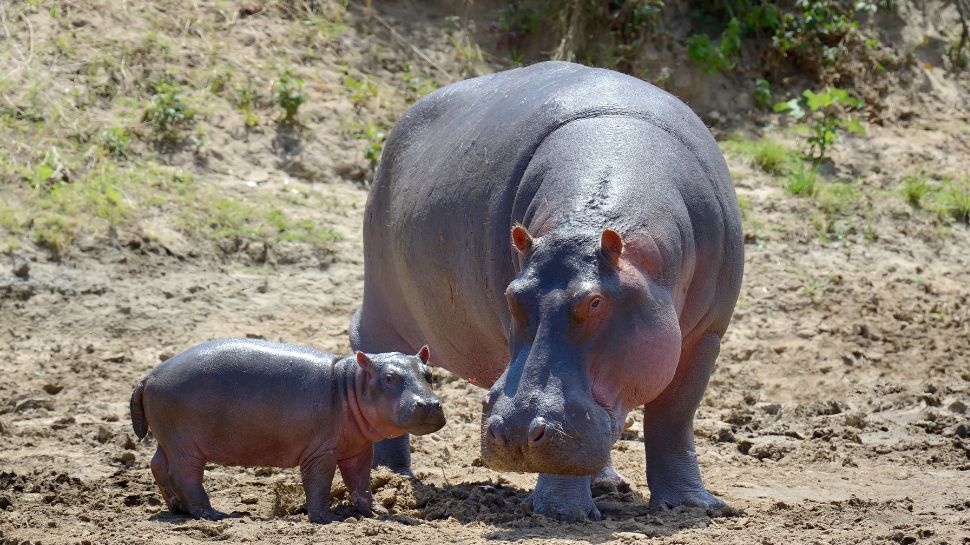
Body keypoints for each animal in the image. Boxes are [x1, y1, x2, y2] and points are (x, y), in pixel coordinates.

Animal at [129, 339, 445, 523]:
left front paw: (377, 512)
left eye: (430, 374)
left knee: (158, 465)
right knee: (185, 476)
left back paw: (177, 509)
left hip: (168, 439)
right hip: (185, 446)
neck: (350, 384)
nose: (430, 404)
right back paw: (213, 514)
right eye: (389, 377)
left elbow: (361, 482)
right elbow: (319, 483)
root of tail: (149, 376)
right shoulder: (321, 452)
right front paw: (325, 519)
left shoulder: (358, 449)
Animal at [350, 61, 743, 520]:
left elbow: (674, 418)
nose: (516, 432)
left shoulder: (705, 336)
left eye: (596, 301)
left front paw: (694, 506)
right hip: (382, 305)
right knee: (379, 356)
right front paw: (561, 512)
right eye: (512, 295)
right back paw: (392, 478)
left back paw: (607, 483)